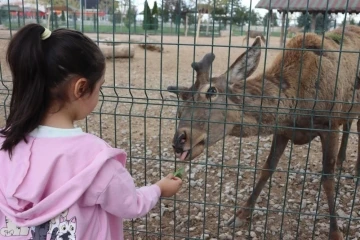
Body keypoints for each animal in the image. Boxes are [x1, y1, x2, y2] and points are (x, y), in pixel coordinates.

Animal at [167, 24, 360, 240]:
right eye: (180, 110)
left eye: (211, 91)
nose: (179, 139)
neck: (296, 105)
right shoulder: (283, 130)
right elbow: (267, 168)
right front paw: (241, 214)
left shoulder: (330, 124)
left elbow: (327, 179)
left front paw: (335, 232)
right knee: (349, 124)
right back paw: (342, 159)